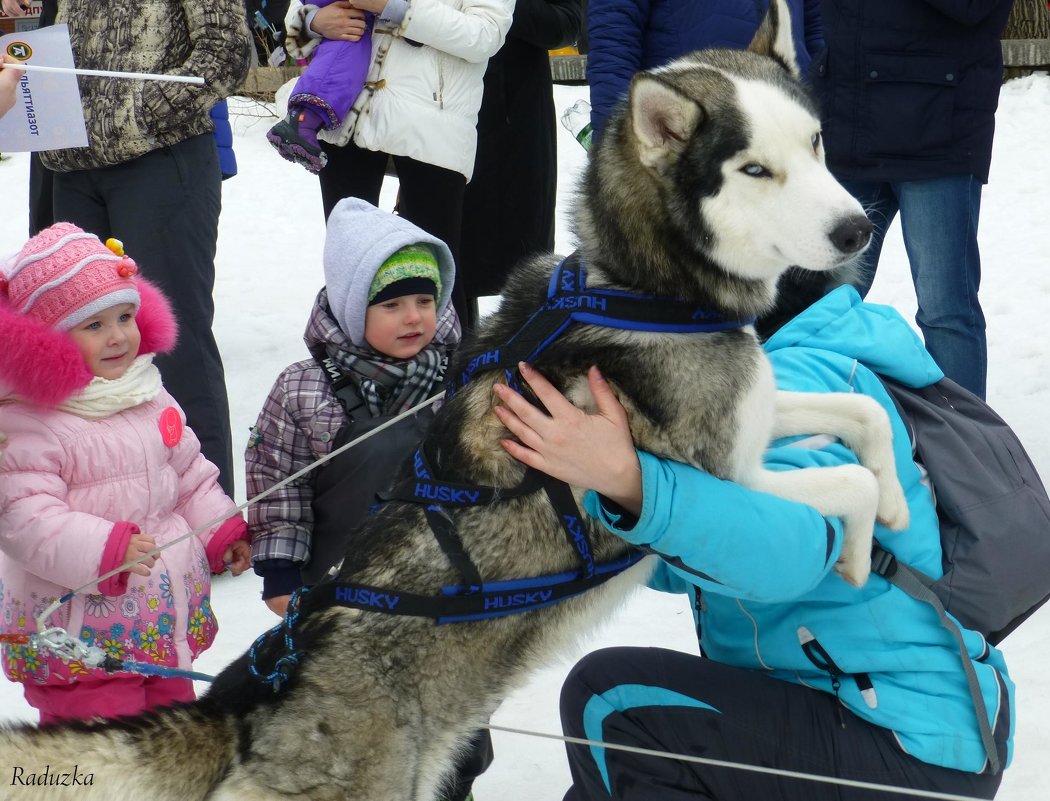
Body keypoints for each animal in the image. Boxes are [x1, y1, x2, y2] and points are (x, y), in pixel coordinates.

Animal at [0, 3, 902, 797]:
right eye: (754, 169)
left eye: (815, 142)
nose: (857, 228)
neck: (642, 289)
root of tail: (247, 699)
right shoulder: (720, 484)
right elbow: (843, 481)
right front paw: (861, 556)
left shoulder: (755, 426)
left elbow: (864, 418)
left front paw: (895, 499)